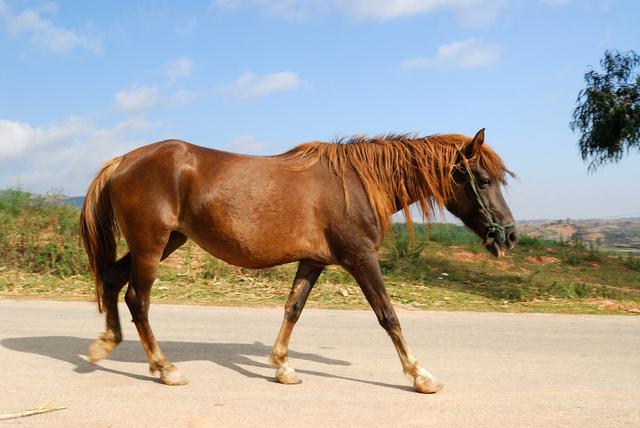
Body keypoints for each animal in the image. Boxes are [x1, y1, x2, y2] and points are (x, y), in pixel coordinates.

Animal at [81, 129, 516, 392]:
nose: (509, 235)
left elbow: (293, 309)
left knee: (113, 278)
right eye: (483, 180)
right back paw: (165, 367)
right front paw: (420, 374)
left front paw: (282, 366)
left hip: (166, 241)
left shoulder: (312, 261)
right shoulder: (361, 259)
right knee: (138, 299)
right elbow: (388, 316)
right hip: (151, 246)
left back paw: (105, 344)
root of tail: (123, 161)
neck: (357, 185)